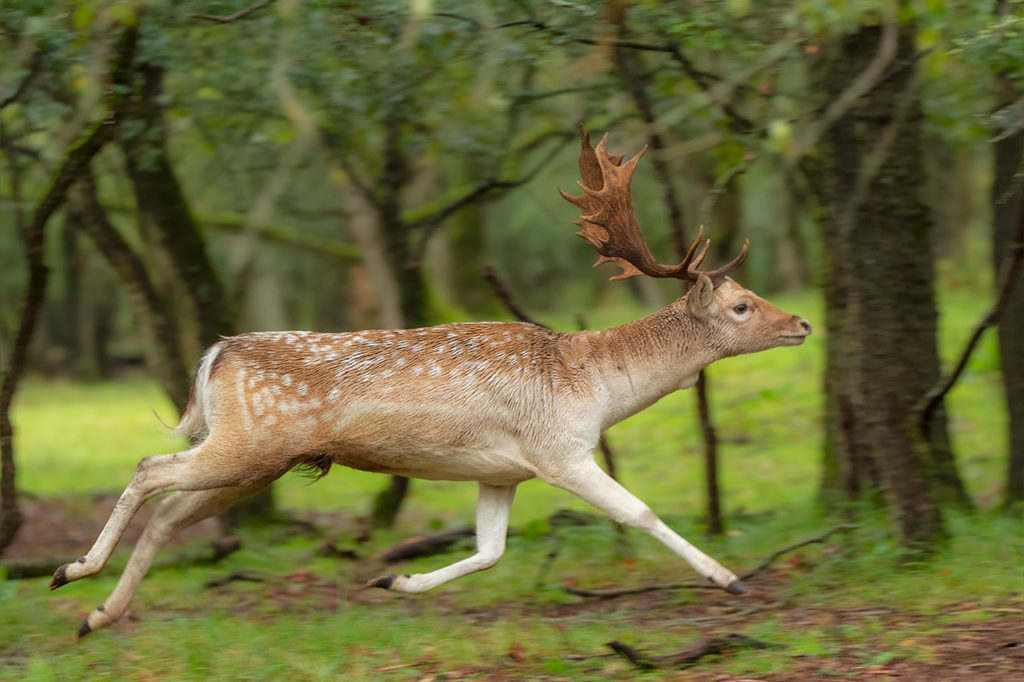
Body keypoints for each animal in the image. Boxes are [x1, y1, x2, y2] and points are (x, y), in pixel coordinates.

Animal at [54, 130, 806, 634]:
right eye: (742, 305)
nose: (800, 322)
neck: (593, 386)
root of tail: (215, 354)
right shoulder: (559, 451)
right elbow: (640, 512)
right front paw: (731, 580)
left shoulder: (502, 472)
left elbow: (489, 551)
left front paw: (396, 578)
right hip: (246, 445)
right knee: (149, 469)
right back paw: (72, 572)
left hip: (254, 461)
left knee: (169, 514)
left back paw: (98, 615)